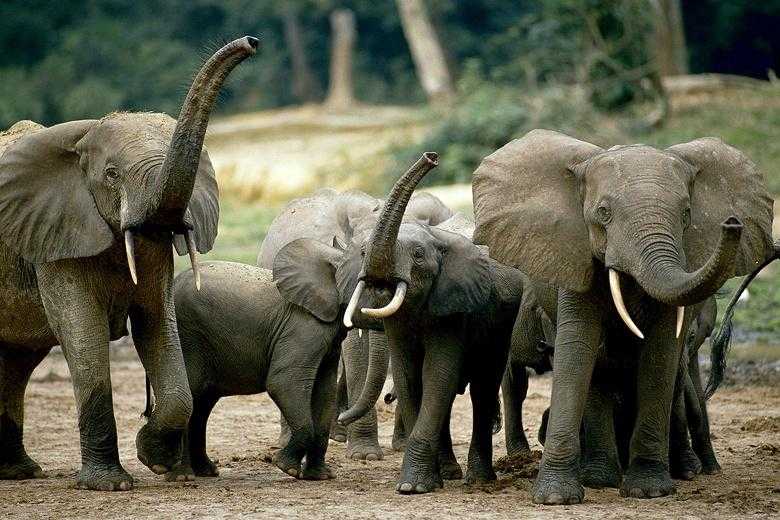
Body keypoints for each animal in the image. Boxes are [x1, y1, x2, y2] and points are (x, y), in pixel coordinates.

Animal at [0, 37, 258, 491]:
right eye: (112, 174)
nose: (252, 42)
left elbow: (158, 325)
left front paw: (157, 460)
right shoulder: (53, 240)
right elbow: (83, 333)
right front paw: (112, 484)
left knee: (16, 361)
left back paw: (19, 472)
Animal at [157, 249, 373, 481]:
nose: (342, 419)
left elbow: (325, 392)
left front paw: (321, 476)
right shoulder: (302, 328)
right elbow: (283, 383)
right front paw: (287, 468)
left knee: (202, 403)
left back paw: (205, 472)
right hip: (189, 337)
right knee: (193, 396)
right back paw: (182, 477)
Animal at [258, 187, 457, 460]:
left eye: (417, 255)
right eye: (362, 253)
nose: (388, 397)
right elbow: (356, 350)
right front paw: (365, 456)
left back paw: (339, 434)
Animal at [335, 153, 534, 494]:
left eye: (417, 255)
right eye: (361, 251)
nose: (432, 157)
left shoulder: (453, 310)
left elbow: (437, 374)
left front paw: (412, 487)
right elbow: (410, 378)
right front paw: (425, 481)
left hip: (500, 326)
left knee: (483, 386)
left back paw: (478, 480)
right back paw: (451, 473)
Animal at [473, 129, 774, 503]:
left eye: (686, 213)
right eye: (603, 213)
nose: (731, 224)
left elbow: (661, 354)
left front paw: (648, 490)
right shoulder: (576, 258)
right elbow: (580, 349)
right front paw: (561, 496)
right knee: (522, 379)